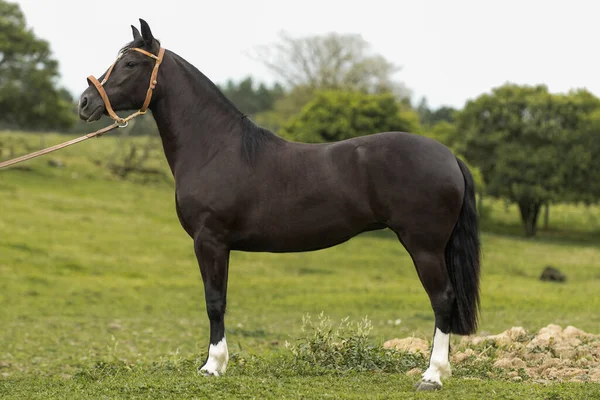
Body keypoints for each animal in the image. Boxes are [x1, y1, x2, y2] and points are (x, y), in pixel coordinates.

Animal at [78, 18, 482, 390]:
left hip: (424, 246)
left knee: (442, 299)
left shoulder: (210, 241)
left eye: (130, 63)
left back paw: (432, 375)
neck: (215, 147)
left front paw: (213, 366)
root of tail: (449, 156)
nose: (85, 102)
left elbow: (214, 301)